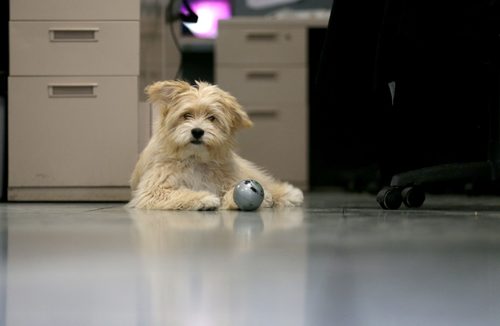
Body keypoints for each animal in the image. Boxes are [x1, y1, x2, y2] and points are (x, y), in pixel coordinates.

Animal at [127, 80, 302, 210]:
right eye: (186, 115)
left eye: (212, 118)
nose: (197, 131)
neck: (195, 158)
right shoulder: (153, 189)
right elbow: (177, 193)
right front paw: (204, 198)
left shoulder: (229, 178)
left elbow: (233, 189)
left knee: (263, 180)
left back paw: (289, 193)